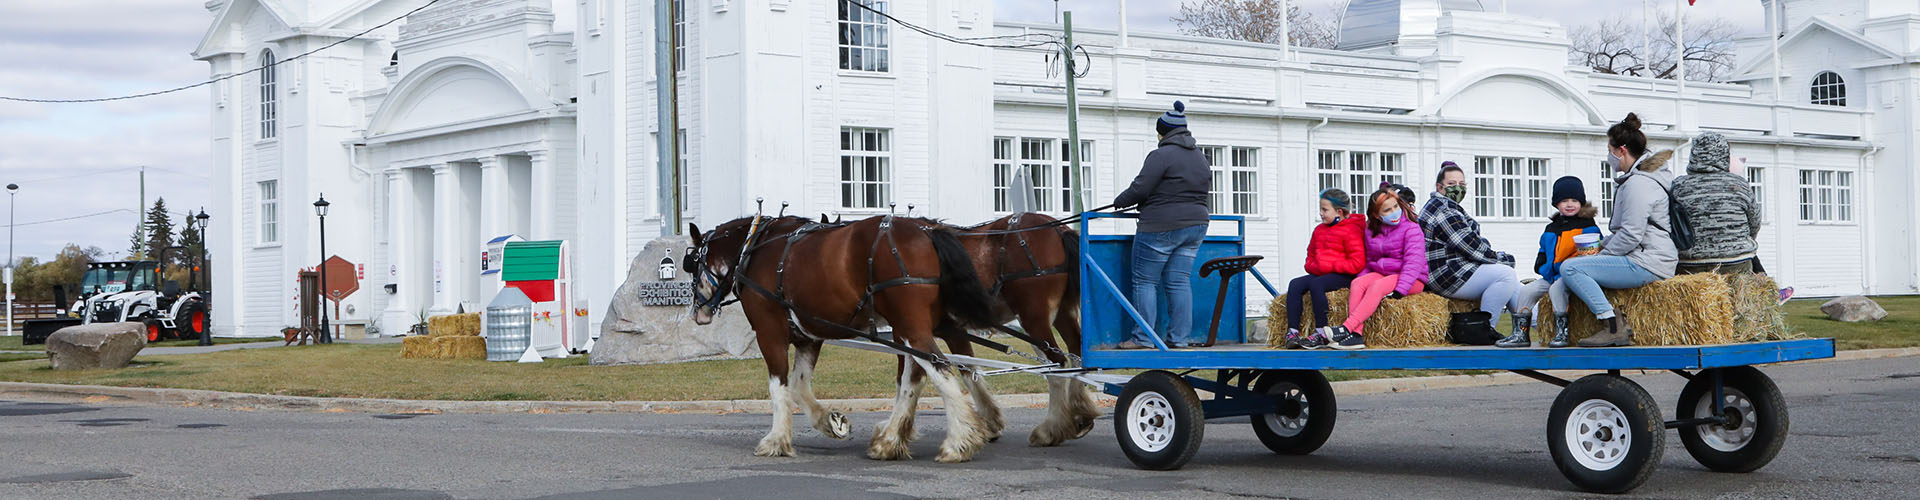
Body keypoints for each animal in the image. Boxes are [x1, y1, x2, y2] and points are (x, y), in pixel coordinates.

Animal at [687, 213, 1006, 461]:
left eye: (691, 264)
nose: (697, 312)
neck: (753, 250)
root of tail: (927, 231)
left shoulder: (770, 332)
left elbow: (779, 388)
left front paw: (776, 441)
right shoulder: (809, 337)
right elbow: (799, 387)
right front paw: (831, 422)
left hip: (912, 327)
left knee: (940, 369)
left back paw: (959, 441)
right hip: (919, 327)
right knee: (920, 376)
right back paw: (891, 441)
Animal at [936, 212, 1105, 448]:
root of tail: (1058, 229)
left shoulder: (943, 329)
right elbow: (968, 369)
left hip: (1034, 318)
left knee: (1057, 364)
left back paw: (1050, 429)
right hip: (1063, 312)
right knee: (1075, 353)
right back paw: (1080, 414)